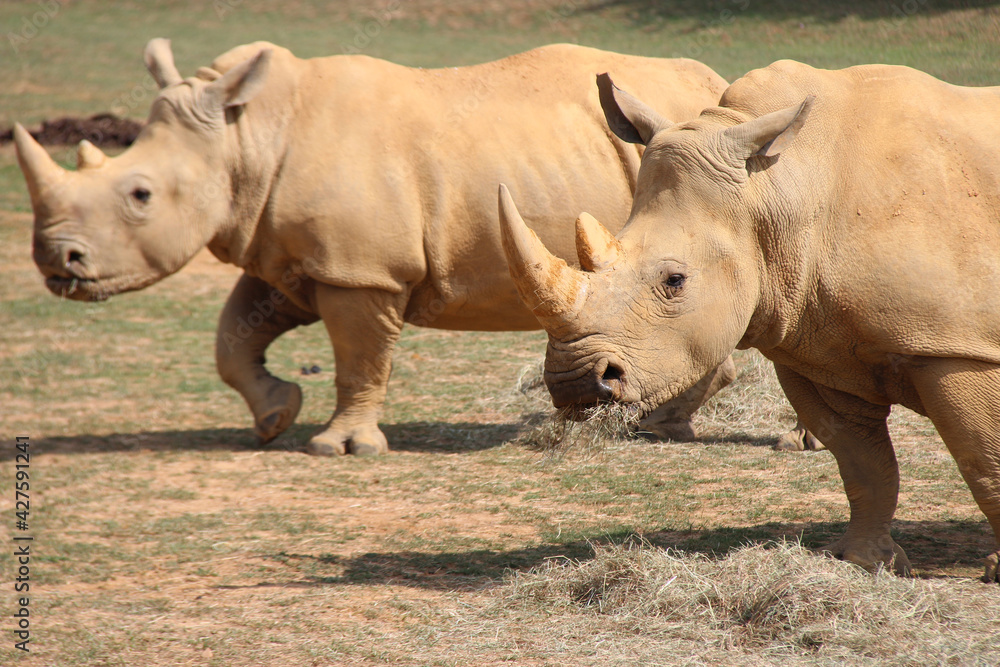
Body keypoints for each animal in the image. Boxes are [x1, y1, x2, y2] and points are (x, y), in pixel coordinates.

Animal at [17, 38, 762, 456]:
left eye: (139, 195)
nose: (56, 261)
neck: (244, 139)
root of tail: (716, 88)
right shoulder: (293, 256)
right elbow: (232, 337)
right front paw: (274, 416)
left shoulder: (360, 269)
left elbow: (359, 357)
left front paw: (340, 448)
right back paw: (661, 426)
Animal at [498, 62, 1000, 582]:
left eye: (675, 281)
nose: (573, 384)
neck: (781, 189)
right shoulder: (815, 343)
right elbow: (861, 459)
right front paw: (863, 562)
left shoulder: (957, 348)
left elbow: (981, 454)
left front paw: (993, 570)